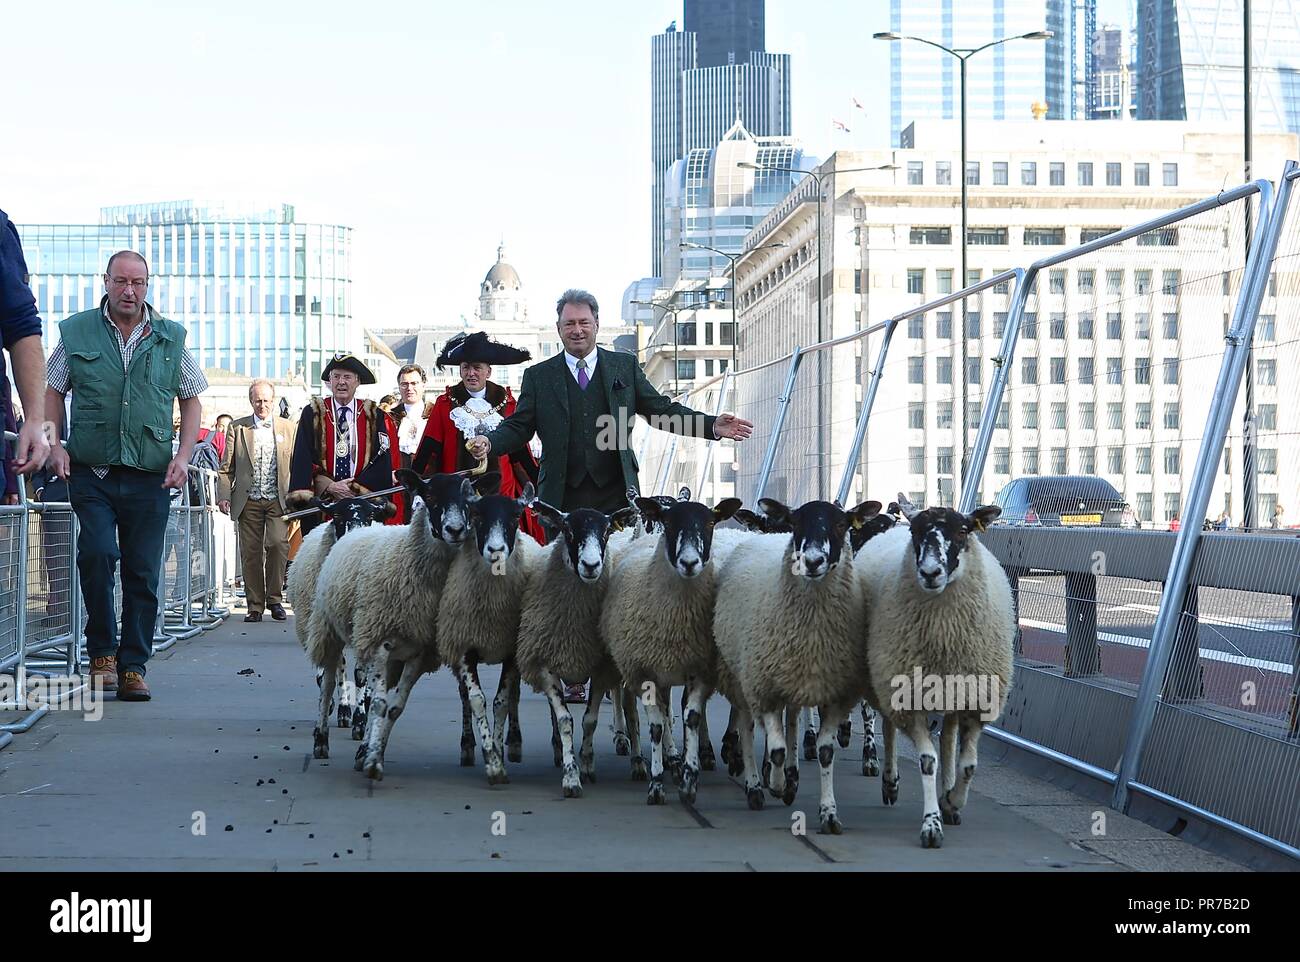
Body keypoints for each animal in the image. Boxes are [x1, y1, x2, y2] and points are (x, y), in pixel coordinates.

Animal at [712, 496, 883, 832]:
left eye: (841, 524)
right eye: (795, 523)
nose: (814, 561)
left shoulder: (833, 692)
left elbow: (825, 751)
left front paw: (828, 812)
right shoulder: (764, 687)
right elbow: (775, 748)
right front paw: (775, 784)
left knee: (790, 719)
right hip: (744, 675)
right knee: (747, 725)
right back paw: (754, 782)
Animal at [857, 499, 1019, 847]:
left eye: (963, 531)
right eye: (916, 532)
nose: (931, 572)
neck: (945, 634)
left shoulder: (976, 700)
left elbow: (968, 765)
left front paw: (953, 801)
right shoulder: (909, 699)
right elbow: (927, 761)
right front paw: (932, 824)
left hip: (952, 691)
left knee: (946, 737)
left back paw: (947, 797)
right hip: (887, 680)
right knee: (889, 728)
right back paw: (890, 781)